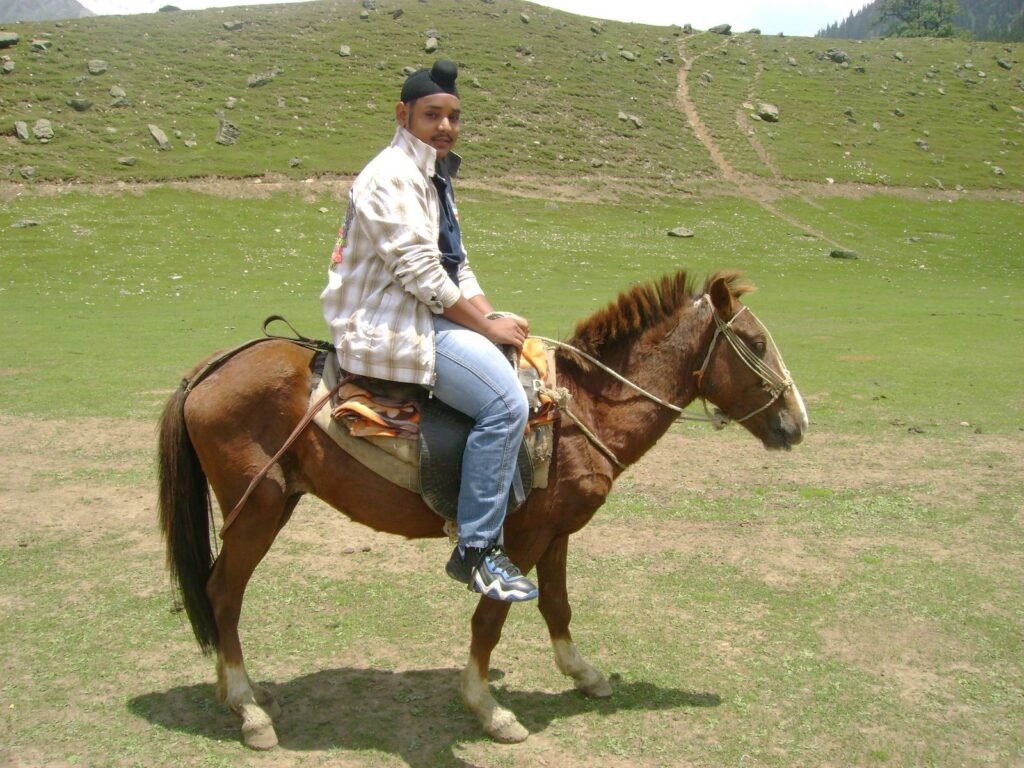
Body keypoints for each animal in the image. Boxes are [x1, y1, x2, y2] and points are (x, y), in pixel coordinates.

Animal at [157, 269, 808, 749]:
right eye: (754, 344)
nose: (796, 422)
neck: (582, 408)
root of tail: (209, 370)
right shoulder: (517, 538)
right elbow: (491, 618)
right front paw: (487, 708)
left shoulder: (558, 530)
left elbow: (557, 605)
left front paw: (584, 674)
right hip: (257, 511)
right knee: (223, 593)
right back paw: (248, 711)